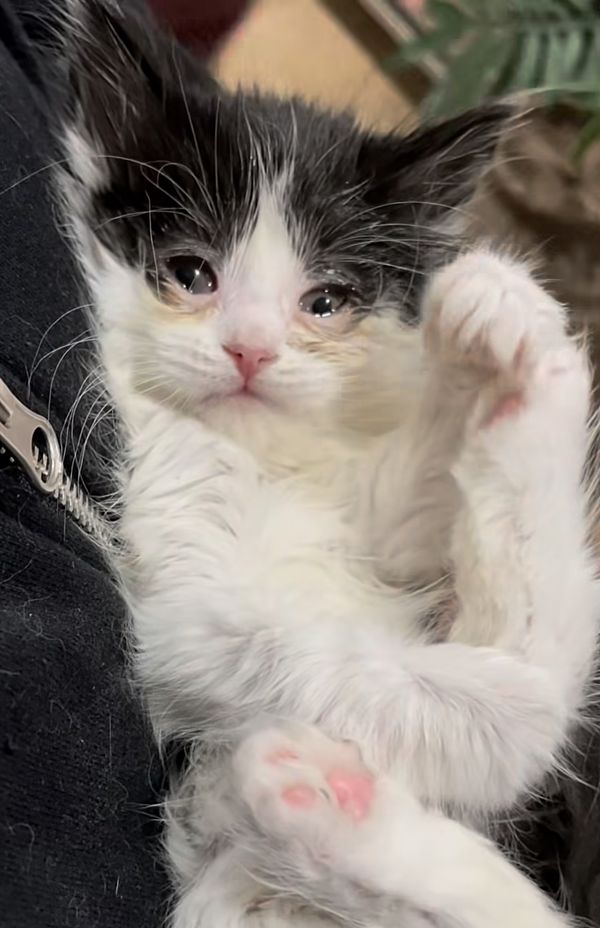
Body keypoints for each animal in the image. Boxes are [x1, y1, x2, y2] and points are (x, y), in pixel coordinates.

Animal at [58, 1, 596, 928]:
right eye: (190, 273)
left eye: (326, 303)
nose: (251, 350)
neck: (265, 458)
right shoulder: (185, 613)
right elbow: (507, 709)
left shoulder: (378, 519)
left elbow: (430, 501)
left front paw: (497, 343)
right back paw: (321, 796)